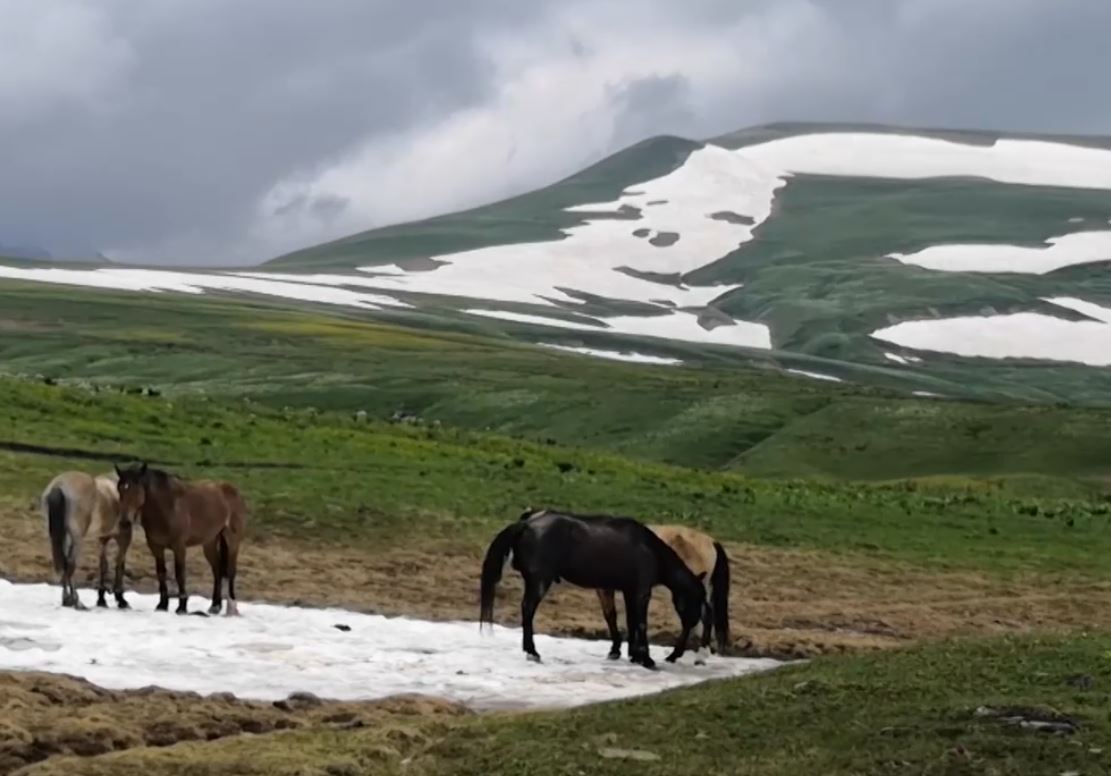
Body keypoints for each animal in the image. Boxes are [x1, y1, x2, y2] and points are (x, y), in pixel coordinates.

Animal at [40, 469, 134, 609]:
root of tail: (59, 485)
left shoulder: (103, 538)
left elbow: (103, 564)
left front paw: (102, 600)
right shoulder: (124, 536)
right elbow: (119, 564)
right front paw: (121, 599)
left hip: (63, 536)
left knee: (65, 563)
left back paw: (67, 600)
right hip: (77, 539)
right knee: (70, 565)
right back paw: (75, 601)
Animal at [113, 460, 247, 618]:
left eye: (136, 490)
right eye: (120, 490)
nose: (124, 522)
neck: (167, 506)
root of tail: (232, 490)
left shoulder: (179, 546)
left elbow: (179, 574)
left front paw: (182, 607)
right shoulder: (156, 547)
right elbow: (161, 572)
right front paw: (162, 605)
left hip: (232, 540)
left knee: (231, 571)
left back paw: (232, 608)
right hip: (209, 542)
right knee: (217, 570)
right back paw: (215, 606)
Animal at [475, 506, 702, 667]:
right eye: (696, 601)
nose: (677, 653)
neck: (649, 548)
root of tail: (528, 524)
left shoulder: (625, 590)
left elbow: (621, 619)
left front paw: (627, 654)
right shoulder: (641, 592)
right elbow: (640, 623)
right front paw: (645, 659)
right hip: (539, 581)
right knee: (528, 609)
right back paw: (532, 652)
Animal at [595, 522, 733, 662]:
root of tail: (711, 542)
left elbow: (611, 616)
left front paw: (615, 651)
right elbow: (630, 619)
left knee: (693, 620)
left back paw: (676, 655)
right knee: (707, 616)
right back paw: (700, 654)